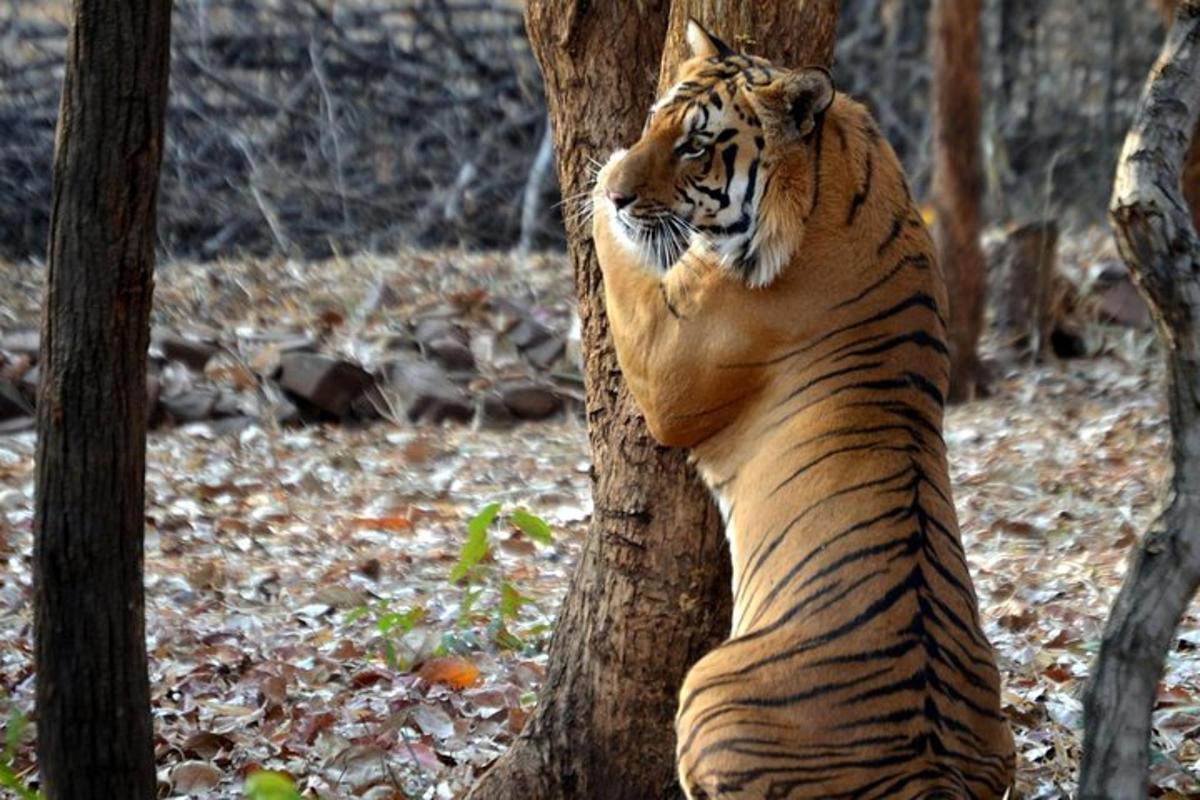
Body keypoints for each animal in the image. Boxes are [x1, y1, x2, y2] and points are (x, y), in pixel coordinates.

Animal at [590, 20, 1012, 800]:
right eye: (654, 121)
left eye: (694, 144)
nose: (619, 193)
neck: (836, 171)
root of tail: (929, 772)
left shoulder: (667, 362)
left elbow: (622, 266)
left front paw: (597, 183)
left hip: (706, 691)